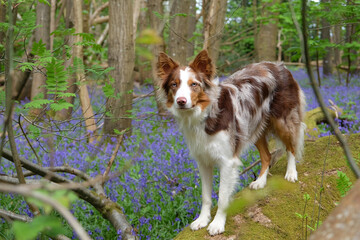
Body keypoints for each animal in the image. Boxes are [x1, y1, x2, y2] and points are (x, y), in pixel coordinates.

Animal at [156, 49, 306, 235]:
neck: (205, 115)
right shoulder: (203, 162)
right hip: (253, 128)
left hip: (282, 120)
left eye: (194, 84)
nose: (181, 101)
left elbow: (221, 197)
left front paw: (217, 224)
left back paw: (291, 173)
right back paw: (260, 181)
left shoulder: (227, 161)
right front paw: (202, 220)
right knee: (267, 156)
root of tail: (280, 65)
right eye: (174, 85)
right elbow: (206, 196)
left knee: (291, 145)